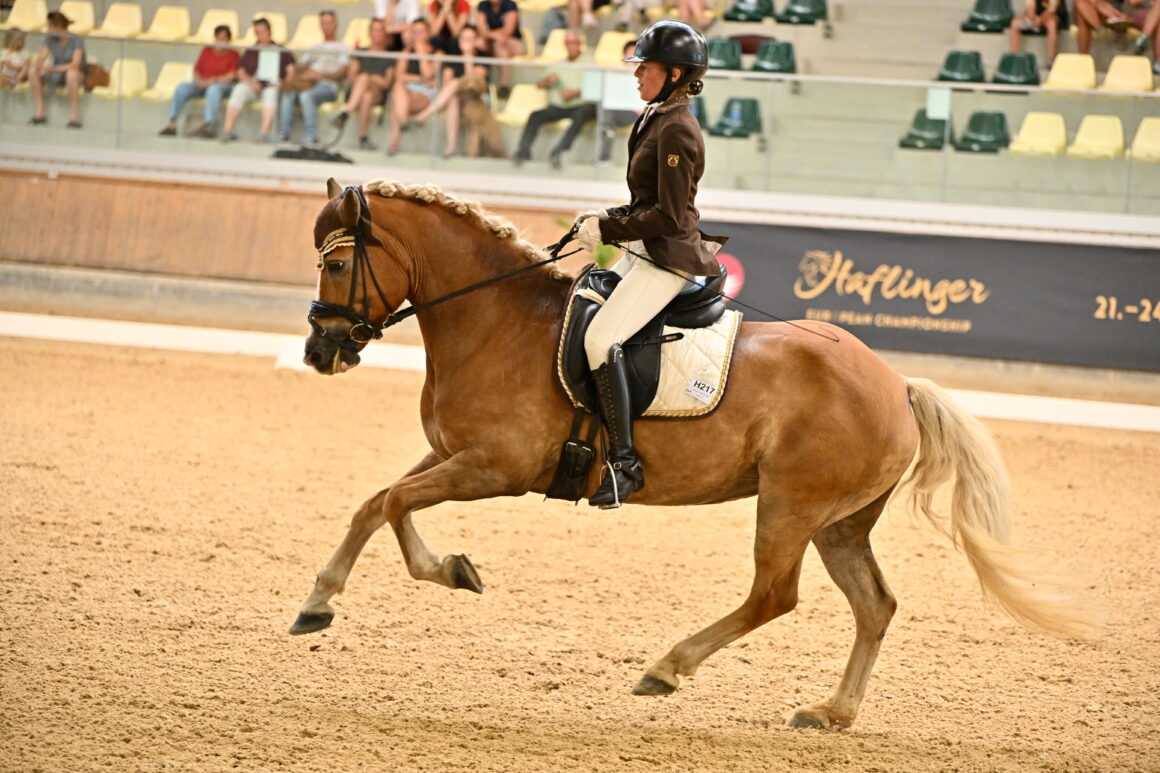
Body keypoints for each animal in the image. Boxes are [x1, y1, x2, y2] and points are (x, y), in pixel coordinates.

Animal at [292, 178, 1095, 728]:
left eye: (339, 265)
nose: (320, 352)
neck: (495, 318)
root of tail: (897, 384)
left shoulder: (495, 467)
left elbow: (397, 505)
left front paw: (451, 571)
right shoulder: (453, 455)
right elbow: (374, 503)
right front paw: (317, 603)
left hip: (791, 505)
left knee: (775, 594)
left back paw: (666, 668)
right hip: (840, 520)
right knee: (874, 604)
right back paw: (830, 713)